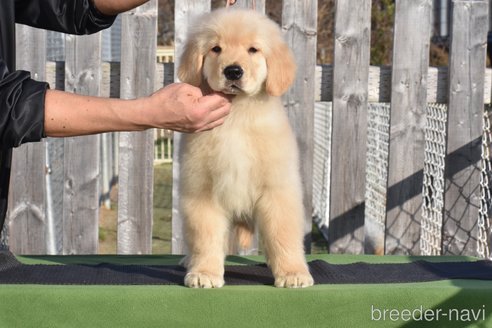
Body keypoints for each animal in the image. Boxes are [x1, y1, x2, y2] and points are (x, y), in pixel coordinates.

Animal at [179, 8, 314, 290]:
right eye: (216, 49)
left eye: (253, 50)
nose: (233, 71)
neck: (237, 116)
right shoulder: (201, 190)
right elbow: (205, 237)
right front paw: (204, 272)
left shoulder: (277, 190)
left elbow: (283, 234)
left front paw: (292, 272)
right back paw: (189, 260)